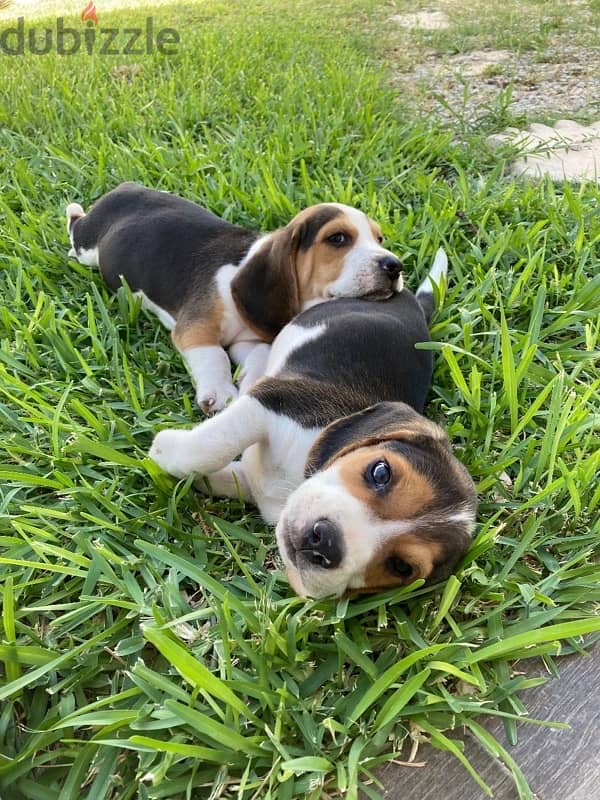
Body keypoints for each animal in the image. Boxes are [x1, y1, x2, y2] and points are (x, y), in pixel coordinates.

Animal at [65, 184, 404, 412]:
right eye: (337, 238)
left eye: (379, 238)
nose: (395, 266)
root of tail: (122, 188)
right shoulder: (196, 327)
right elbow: (213, 354)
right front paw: (219, 391)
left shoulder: (248, 338)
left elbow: (259, 351)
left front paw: (251, 379)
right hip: (87, 247)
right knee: (75, 226)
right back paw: (72, 215)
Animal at [148, 252, 476, 600]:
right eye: (380, 472)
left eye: (400, 567)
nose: (326, 542)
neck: (297, 476)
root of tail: (412, 304)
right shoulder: (277, 400)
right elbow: (215, 443)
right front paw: (166, 450)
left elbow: (227, 471)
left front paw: (194, 476)